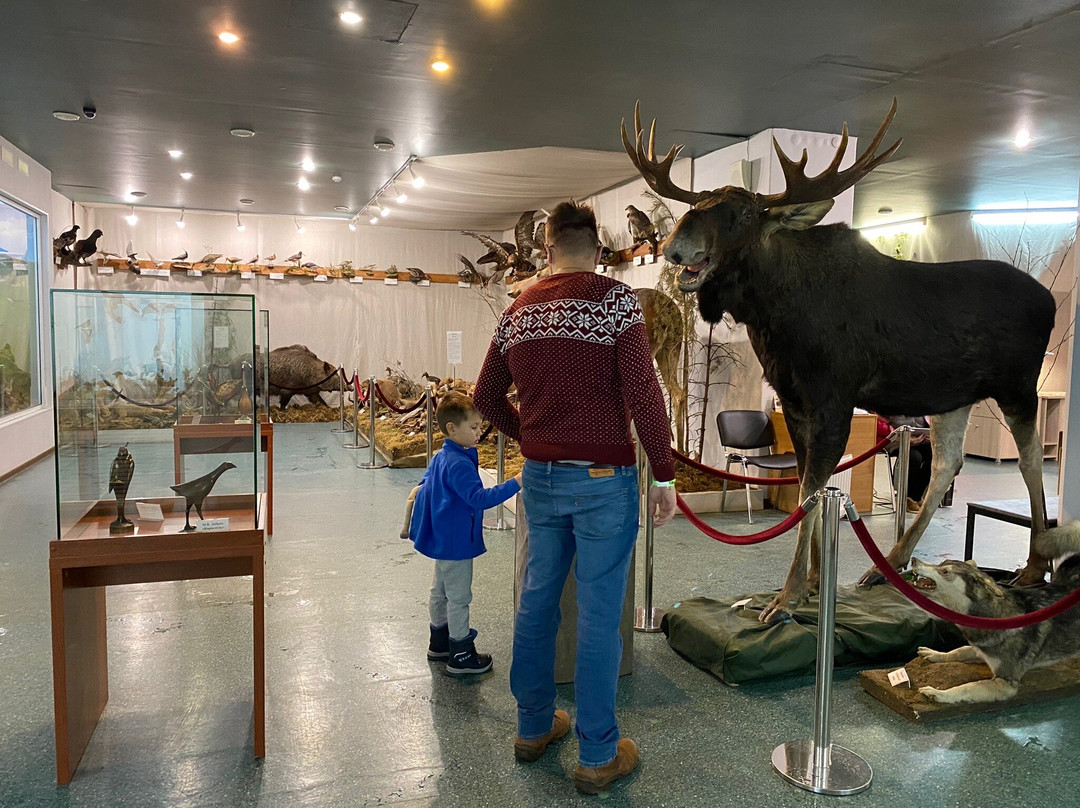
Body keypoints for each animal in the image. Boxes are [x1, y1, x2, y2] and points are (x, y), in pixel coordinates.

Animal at [626, 101, 1054, 626]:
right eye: (697, 204)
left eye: (743, 214)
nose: (674, 246)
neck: (775, 316)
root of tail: (1050, 301)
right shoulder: (794, 400)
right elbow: (810, 489)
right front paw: (813, 582)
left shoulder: (834, 397)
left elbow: (812, 491)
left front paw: (787, 596)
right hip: (953, 396)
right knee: (946, 464)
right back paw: (887, 565)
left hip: (1019, 385)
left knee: (1030, 459)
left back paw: (1033, 567)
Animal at [911, 524, 1080, 699]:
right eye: (941, 563)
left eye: (945, 571)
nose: (914, 561)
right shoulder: (979, 651)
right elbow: (957, 651)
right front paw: (934, 653)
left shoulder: (1005, 683)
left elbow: (966, 687)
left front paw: (938, 693)